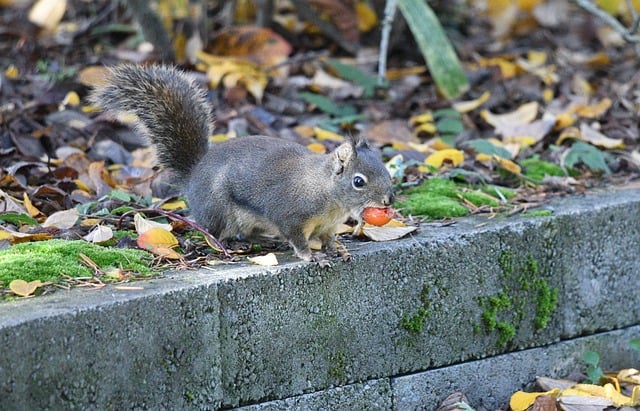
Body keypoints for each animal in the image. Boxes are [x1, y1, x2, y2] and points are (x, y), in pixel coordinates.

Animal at [87, 65, 392, 262]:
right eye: (358, 181)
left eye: (385, 169)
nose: (388, 201)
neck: (328, 196)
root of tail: (194, 175)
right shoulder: (291, 215)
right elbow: (297, 238)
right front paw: (310, 256)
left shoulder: (329, 225)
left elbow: (328, 239)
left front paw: (337, 249)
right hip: (218, 208)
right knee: (215, 231)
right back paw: (224, 243)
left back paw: (264, 239)